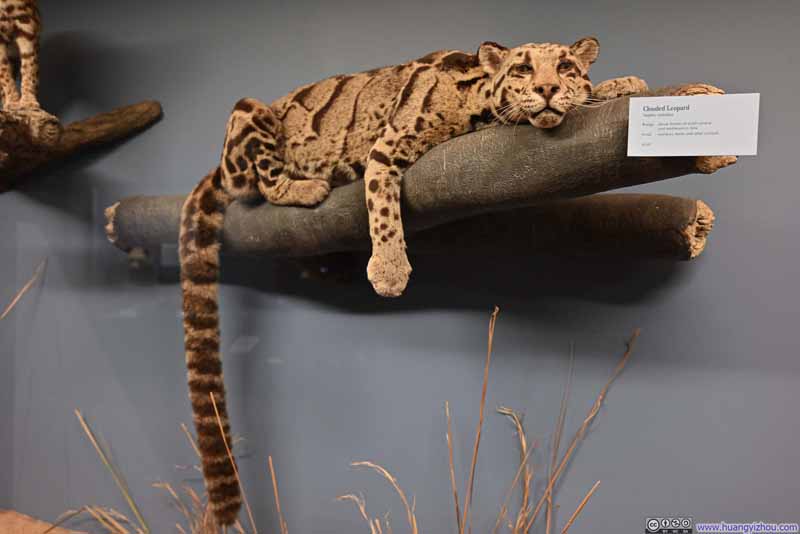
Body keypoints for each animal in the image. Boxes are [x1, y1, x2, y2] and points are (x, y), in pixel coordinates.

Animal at [178, 36, 653, 525]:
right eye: (522, 69)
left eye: (565, 68)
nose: (546, 88)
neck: (477, 101)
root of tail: (218, 165)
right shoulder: (388, 145)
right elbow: (383, 204)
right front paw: (389, 269)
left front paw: (618, 83)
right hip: (247, 112)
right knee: (262, 181)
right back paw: (304, 186)